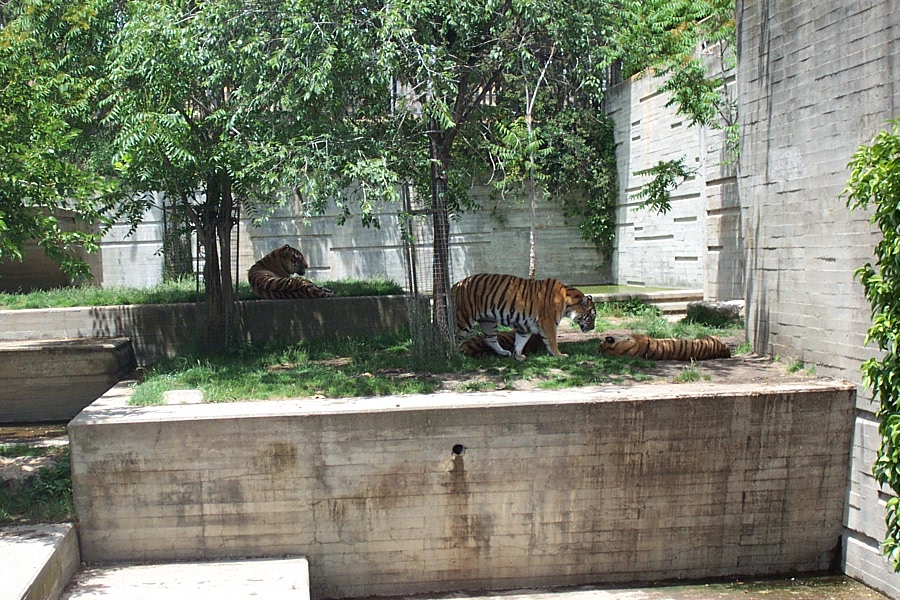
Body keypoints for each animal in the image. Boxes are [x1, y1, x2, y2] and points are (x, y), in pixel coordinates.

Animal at [452, 273, 595, 360]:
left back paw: (504, 352)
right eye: (592, 316)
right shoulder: (548, 323)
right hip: (463, 318)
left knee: (490, 339)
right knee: (454, 337)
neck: (568, 303)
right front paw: (559, 355)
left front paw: (518, 356)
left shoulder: (525, 326)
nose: (593, 328)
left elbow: (520, 342)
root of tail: (455, 285)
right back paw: (455, 357)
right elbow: (552, 341)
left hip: (488, 321)